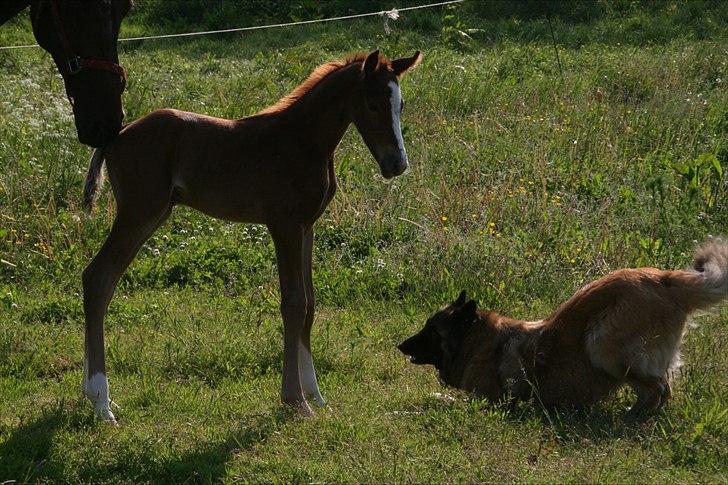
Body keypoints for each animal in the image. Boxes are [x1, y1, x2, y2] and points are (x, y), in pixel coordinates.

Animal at [81, 48, 420, 420]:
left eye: (400, 105)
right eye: (373, 104)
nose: (397, 164)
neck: (303, 140)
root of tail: (117, 134)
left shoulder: (306, 227)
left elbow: (310, 303)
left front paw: (315, 394)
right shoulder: (284, 225)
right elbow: (294, 303)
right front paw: (295, 399)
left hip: (149, 215)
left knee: (103, 281)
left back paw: (92, 394)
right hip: (139, 213)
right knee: (98, 277)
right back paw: (101, 402)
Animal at [398, 240, 728, 418]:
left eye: (431, 331)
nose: (400, 346)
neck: (478, 341)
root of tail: (664, 279)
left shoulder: (489, 401)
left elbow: (444, 401)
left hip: (603, 345)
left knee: (658, 388)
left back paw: (631, 417)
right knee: (662, 386)